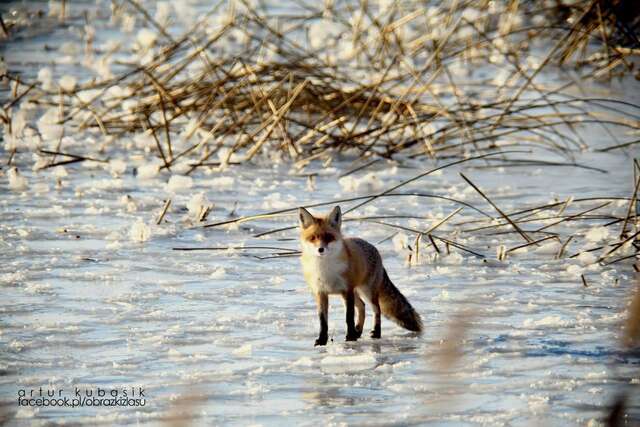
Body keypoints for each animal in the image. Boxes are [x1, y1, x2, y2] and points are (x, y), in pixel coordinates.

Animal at [298, 205, 422, 348]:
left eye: (329, 237)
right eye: (313, 238)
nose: (320, 249)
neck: (325, 270)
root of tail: (374, 249)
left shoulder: (347, 290)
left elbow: (349, 317)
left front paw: (350, 337)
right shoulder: (321, 292)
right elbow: (323, 321)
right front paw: (322, 340)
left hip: (366, 292)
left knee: (376, 309)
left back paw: (375, 333)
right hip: (354, 292)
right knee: (362, 306)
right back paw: (358, 331)